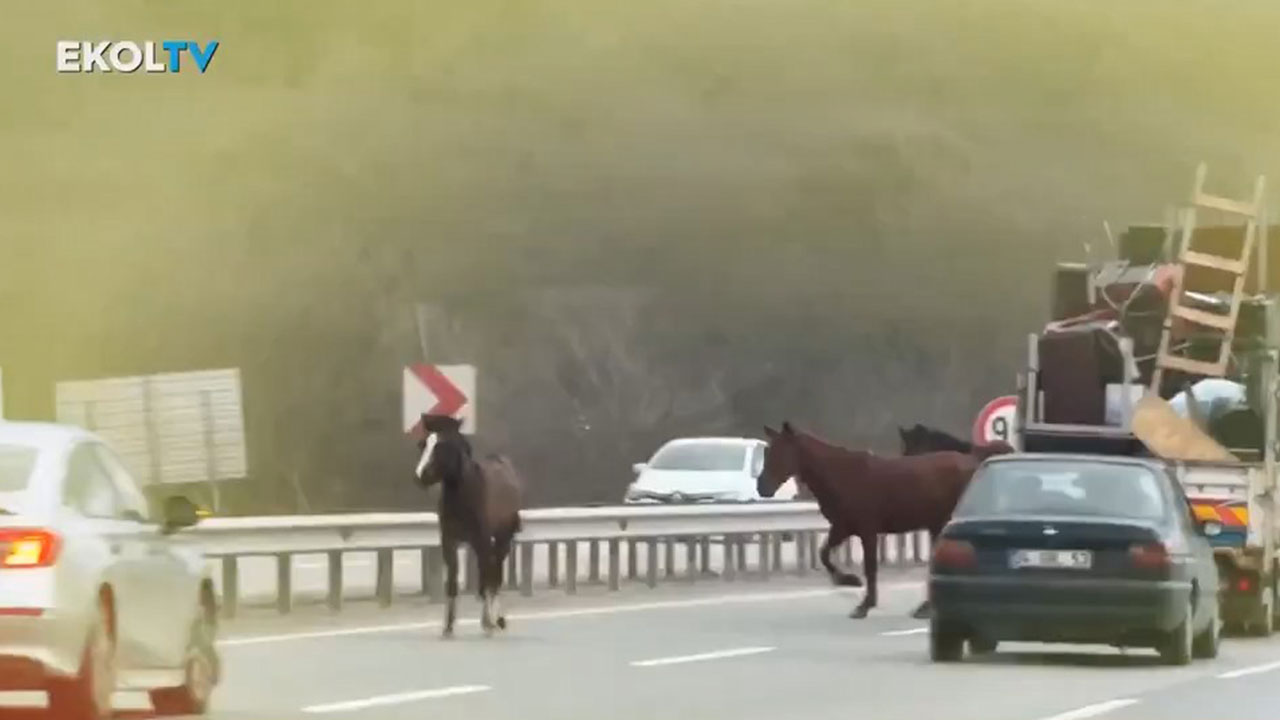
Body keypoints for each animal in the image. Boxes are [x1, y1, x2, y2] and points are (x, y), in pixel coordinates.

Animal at [414, 412, 524, 635]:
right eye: (423, 443)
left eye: (441, 445)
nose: (421, 475)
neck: (465, 494)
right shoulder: (449, 540)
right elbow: (452, 583)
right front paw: (447, 627)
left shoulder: (482, 540)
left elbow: (486, 579)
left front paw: (489, 623)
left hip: (502, 538)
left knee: (494, 574)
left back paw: (497, 619)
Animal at [757, 420, 977, 617]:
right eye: (767, 452)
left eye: (781, 452)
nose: (762, 487)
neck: (843, 476)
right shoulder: (842, 527)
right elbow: (824, 554)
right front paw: (848, 580)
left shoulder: (867, 531)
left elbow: (870, 567)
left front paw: (864, 605)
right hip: (937, 526)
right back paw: (927, 607)